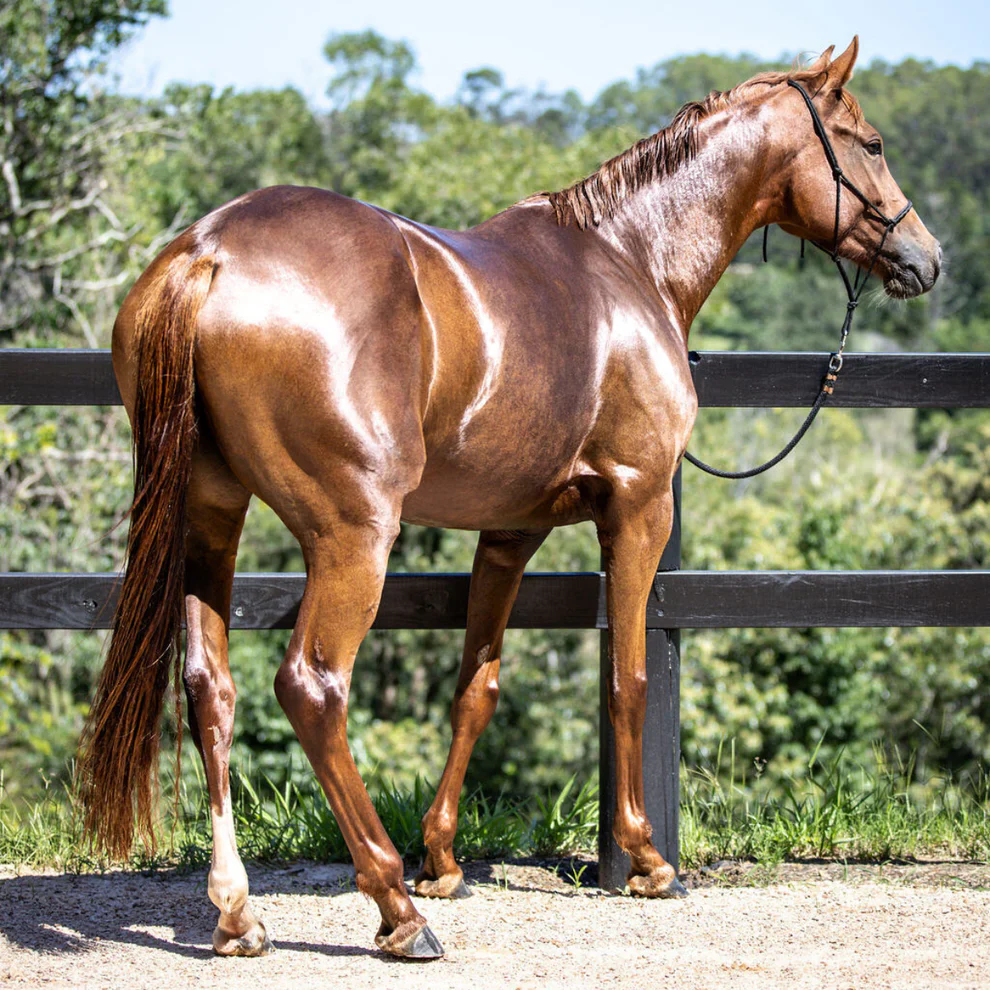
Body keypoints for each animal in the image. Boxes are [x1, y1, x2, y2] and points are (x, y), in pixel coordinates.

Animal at [77, 38, 940, 959]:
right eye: (872, 143)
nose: (927, 258)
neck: (630, 262)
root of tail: (211, 253)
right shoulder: (640, 508)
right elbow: (628, 676)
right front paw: (644, 859)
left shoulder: (509, 531)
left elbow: (475, 689)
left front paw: (444, 859)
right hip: (353, 535)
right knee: (313, 688)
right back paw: (395, 910)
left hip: (211, 519)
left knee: (211, 687)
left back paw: (241, 912)